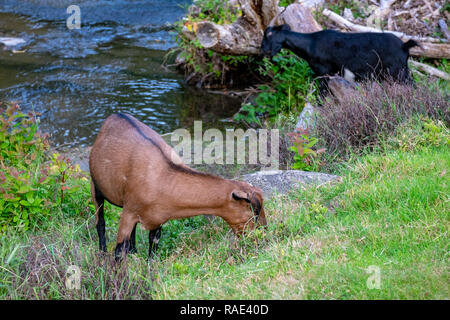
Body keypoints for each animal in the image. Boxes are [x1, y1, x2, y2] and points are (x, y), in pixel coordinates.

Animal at [89, 114, 266, 258]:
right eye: (253, 212)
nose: (262, 234)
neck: (163, 179)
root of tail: (114, 116)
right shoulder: (129, 212)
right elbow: (119, 252)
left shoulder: (157, 220)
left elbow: (153, 249)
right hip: (95, 185)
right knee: (100, 223)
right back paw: (102, 253)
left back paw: (133, 252)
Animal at [260, 24, 418, 94]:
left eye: (269, 34)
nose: (263, 50)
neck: (310, 44)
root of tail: (404, 45)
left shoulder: (323, 73)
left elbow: (323, 95)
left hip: (398, 72)